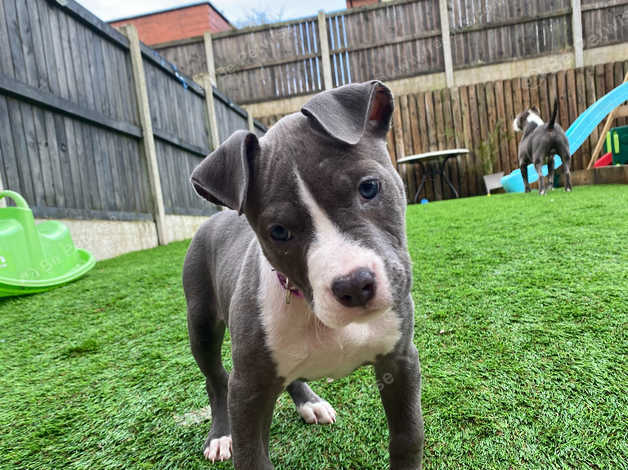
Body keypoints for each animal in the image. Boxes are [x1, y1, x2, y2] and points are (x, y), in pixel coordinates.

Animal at [184, 81, 424, 470]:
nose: (354, 286)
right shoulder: (248, 390)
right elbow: (252, 457)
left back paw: (310, 402)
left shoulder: (399, 359)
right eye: (279, 232)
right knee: (215, 379)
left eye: (369, 187)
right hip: (201, 323)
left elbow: (408, 437)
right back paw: (220, 435)